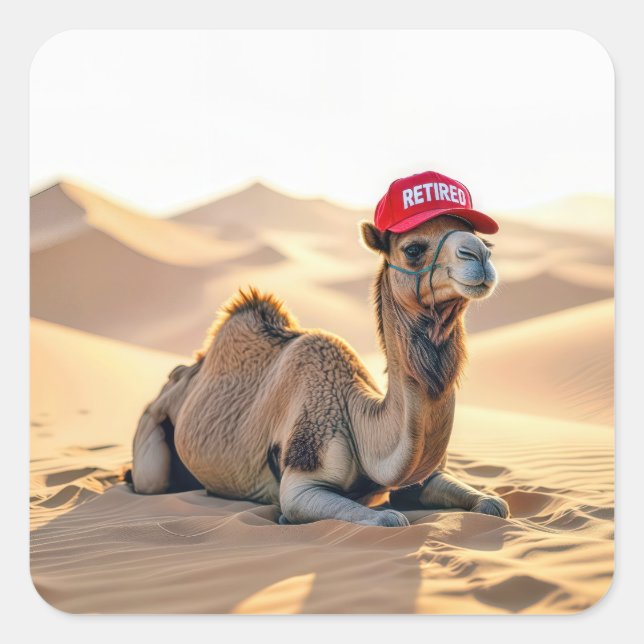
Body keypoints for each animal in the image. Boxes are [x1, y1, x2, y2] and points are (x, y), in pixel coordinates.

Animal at [130, 214, 509, 526]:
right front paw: (286, 518)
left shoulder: (423, 478)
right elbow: (389, 518)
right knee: (150, 480)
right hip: (151, 434)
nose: (480, 255)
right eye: (413, 249)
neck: (361, 421)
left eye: (486, 242)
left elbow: (494, 505)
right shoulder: (303, 477)